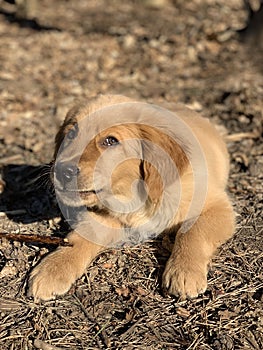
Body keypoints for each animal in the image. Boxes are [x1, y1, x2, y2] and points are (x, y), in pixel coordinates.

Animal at [27, 95, 236, 300]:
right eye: (71, 134)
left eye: (110, 141)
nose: (62, 171)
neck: (135, 194)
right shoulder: (105, 216)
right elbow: (80, 235)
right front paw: (53, 268)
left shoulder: (217, 206)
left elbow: (193, 232)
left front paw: (184, 272)